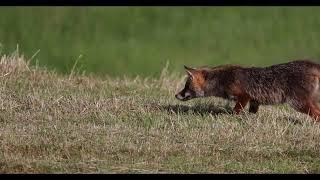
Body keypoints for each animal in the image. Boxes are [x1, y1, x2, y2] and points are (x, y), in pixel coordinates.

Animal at [175, 60, 320, 121]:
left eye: (186, 86)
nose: (176, 95)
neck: (222, 79)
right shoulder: (254, 101)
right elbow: (251, 113)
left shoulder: (244, 96)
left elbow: (235, 111)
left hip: (299, 104)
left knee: (317, 114)